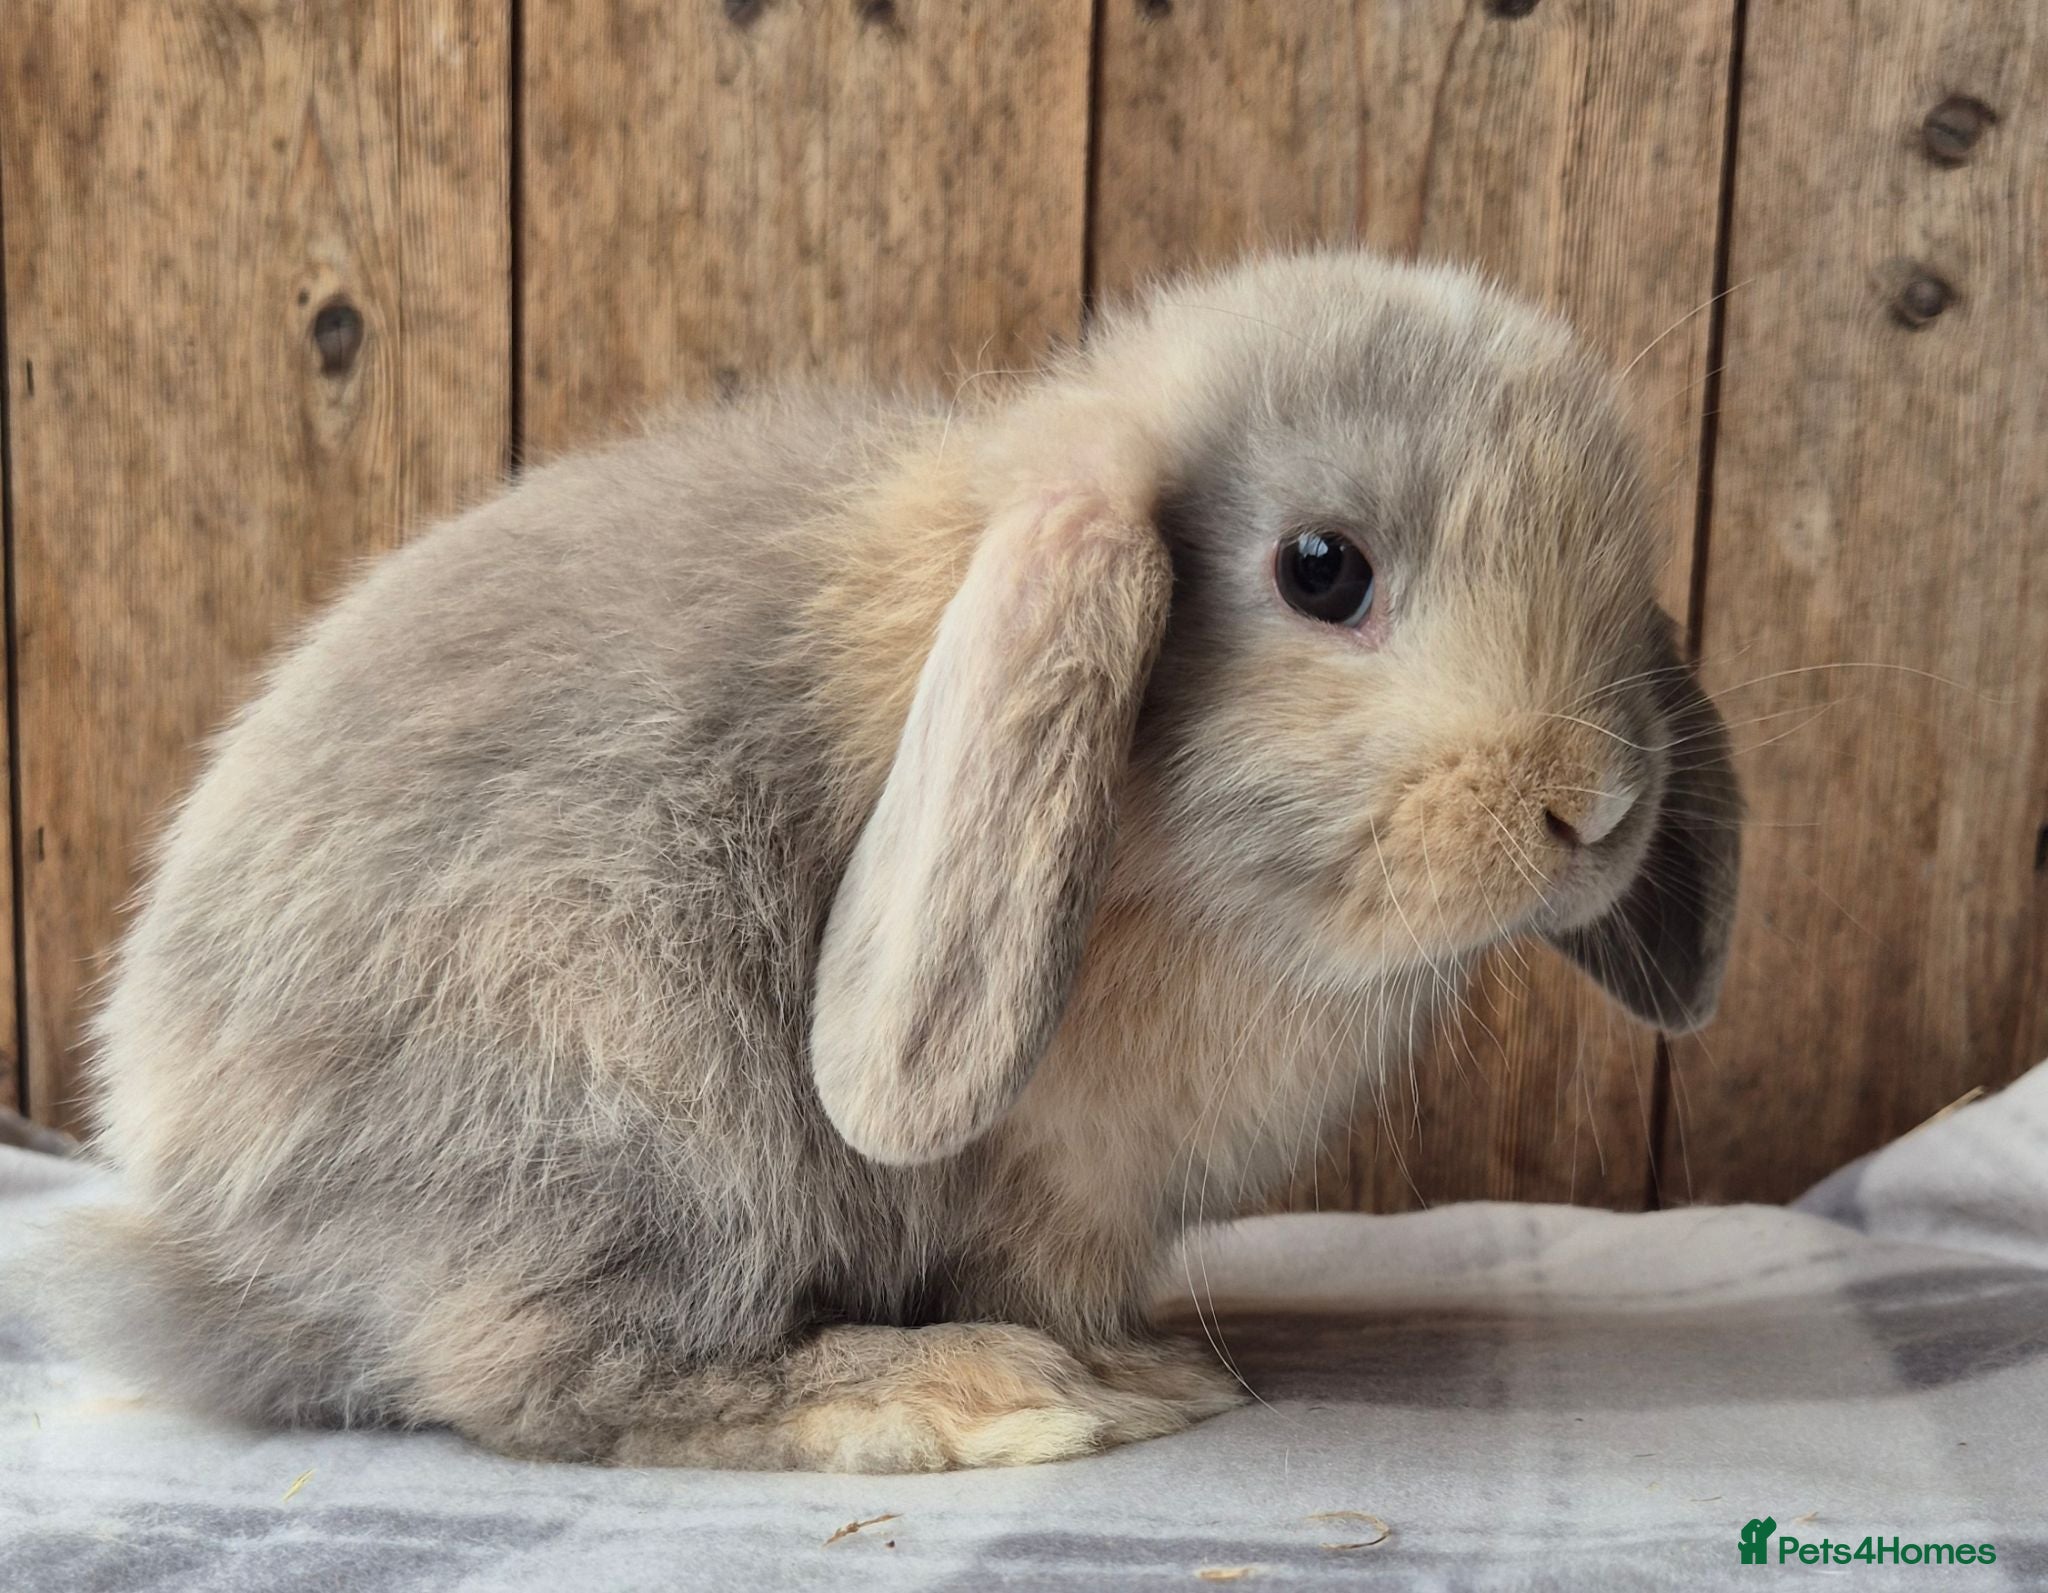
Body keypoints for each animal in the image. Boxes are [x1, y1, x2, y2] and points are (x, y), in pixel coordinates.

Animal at [52, 249, 1739, 1473]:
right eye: (1322, 571)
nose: (1592, 804)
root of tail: (187, 1227)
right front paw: (1115, 1378)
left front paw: (1138, 1353)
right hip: (629, 1104)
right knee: (544, 1375)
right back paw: (946, 1391)